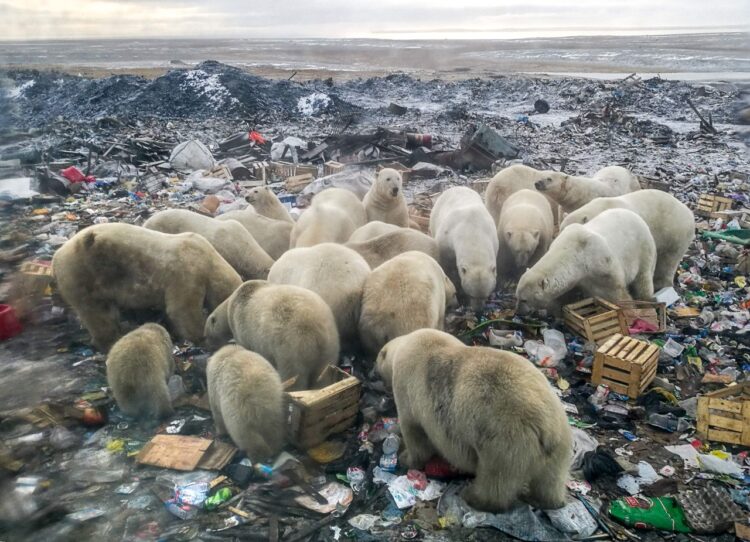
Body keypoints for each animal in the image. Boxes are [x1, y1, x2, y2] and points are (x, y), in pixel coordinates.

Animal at [52, 223, 241, 352]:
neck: (210, 260)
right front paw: (201, 338)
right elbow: (182, 309)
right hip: (84, 274)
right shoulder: (188, 272)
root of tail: (56, 257)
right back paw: (111, 340)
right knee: (97, 313)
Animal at [205, 281, 339, 391]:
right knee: (323, 373)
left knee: (294, 374)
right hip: (330, 344)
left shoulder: (242, 329)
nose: (208, 348)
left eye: (207, 337)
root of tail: (316, 330)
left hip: (291, 345)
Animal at [376, 329, 572, 512]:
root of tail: (546, 427)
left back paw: (473, 496)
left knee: (496, 479)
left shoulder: (407, 388)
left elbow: (415, 433)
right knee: (551, 479)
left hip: (506, 441)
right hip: (559, 443)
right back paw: (547, 500)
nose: (372, 373)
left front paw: (405, 458)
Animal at [516, 208, 656, 314]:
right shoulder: (581, 278)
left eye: (524, 300)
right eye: (517, 297)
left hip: (643, 248)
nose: (519, 312)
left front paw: (629, 311)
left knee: (644, 278)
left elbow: (617, 291)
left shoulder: (602, 263)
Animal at [560, 189, 695, 290]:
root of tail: (690, 214)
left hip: (676, 232)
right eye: (560, 232)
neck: (600, 208)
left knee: (669, 260)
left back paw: (660, 283)